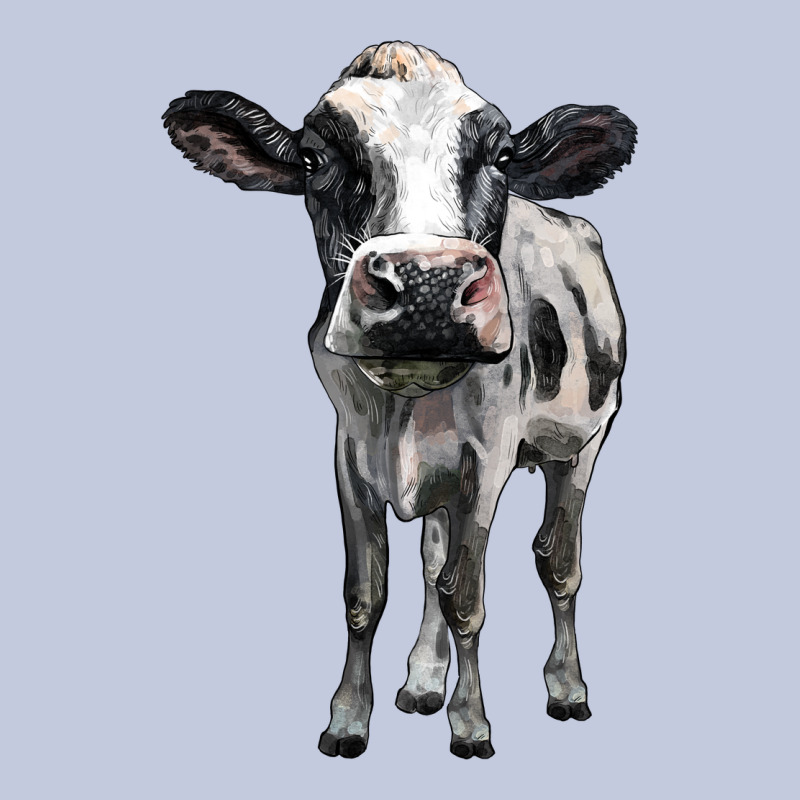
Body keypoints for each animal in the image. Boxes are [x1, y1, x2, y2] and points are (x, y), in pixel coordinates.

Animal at [163, 41, 636, 760]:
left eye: (500, 156)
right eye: (313, 157)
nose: (426, 285)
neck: (404, 407)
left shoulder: (487, 460)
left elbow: (467, 597)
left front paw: (470, 724)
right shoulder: (351, 453)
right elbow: (367, 593)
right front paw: (348, 720)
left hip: (582, 444)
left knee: (558, 562)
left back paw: (566, 688)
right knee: (433, 563)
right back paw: (421, 682)